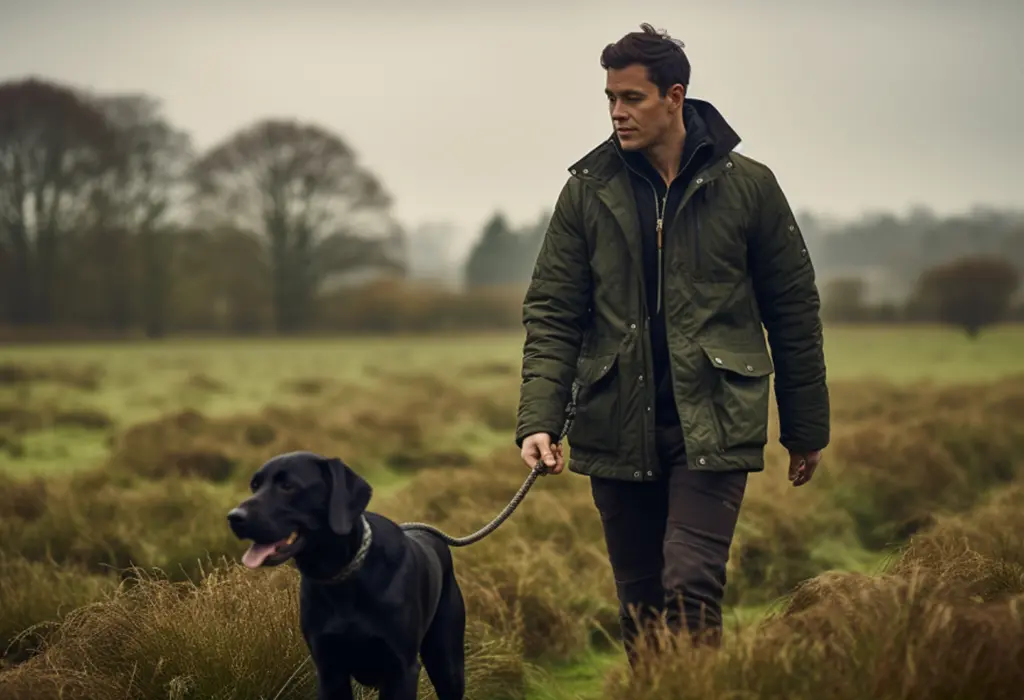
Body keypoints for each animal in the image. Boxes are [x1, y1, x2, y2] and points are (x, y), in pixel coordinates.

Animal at [228, 450, 468, 695]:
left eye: (288, 485)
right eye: (255, 485)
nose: (234, 517)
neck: (342, 581)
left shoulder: (401, 670)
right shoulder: (329, 670)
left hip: (446, 664)